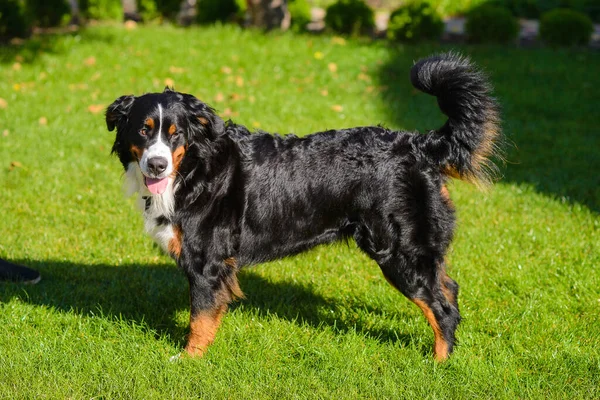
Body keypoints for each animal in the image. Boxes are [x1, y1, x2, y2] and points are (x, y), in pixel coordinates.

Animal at [106, 51, 502, 360]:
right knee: (449, 288)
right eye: (144, 130)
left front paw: (189, 360)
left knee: (442, 308)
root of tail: (418, 145)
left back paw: (439, 364)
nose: (157, 165)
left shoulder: (207, 262)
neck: (194, 169)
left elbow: (199, 319)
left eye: (176, 134)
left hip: (401, 252)